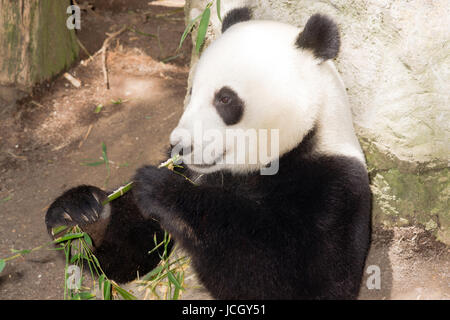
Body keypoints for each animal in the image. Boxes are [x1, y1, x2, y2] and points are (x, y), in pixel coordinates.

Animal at [45, 7, 370, 298]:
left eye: (225, 98)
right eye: (191, 91)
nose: (180, 145)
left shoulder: (331, 187)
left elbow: (291, 277)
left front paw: (166, 192)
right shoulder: (187, 169)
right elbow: (132, 256)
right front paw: (79, 215)